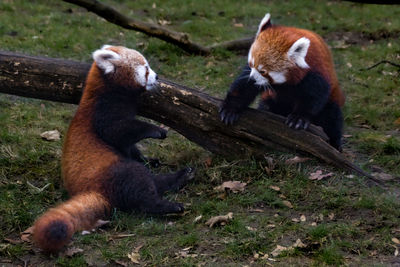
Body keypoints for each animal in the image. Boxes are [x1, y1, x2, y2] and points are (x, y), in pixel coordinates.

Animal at [31, 45, 194, 253]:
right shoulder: (103, 112)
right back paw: (169, 205)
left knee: (151, 180)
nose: (157, 77)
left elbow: (131, 148)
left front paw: (149, 159)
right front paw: (157, 130)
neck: (108, 90)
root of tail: (96, 191)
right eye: (146, 68)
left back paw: (182, 175)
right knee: (140, 186)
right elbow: (119, 131)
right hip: (113, 171)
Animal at [220, 13, 346, 152]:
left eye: (263, 71)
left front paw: (299, 118)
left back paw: (335, 144)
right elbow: (243, 87)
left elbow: (313, 98)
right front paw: (230, 108)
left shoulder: (315, 75)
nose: (252, 78)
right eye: (251, 64)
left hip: (333, 98)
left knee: (332, 118)